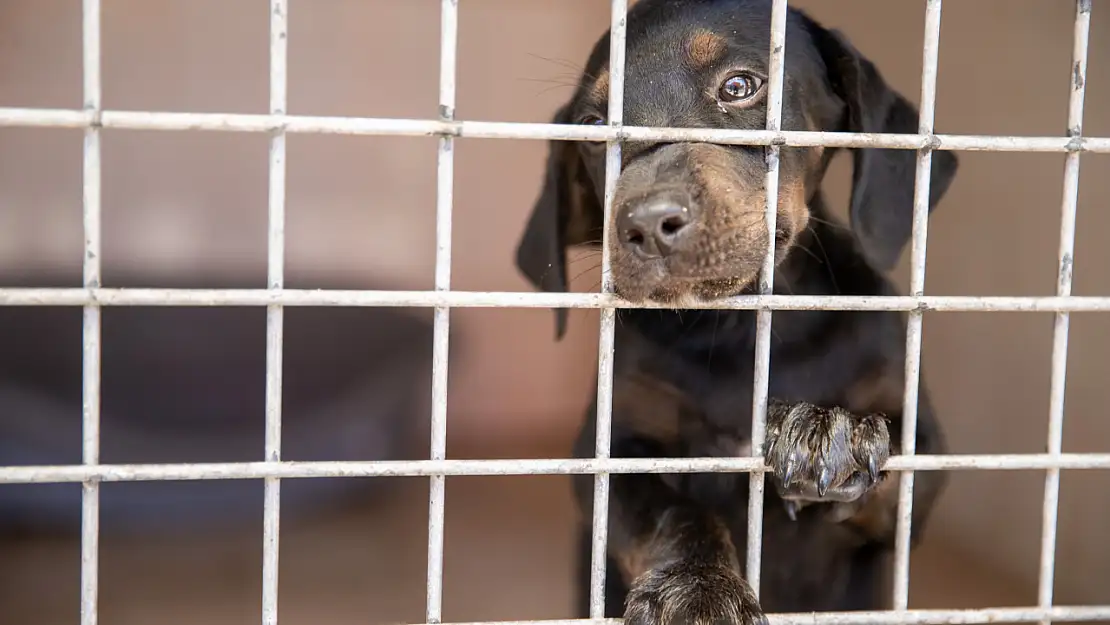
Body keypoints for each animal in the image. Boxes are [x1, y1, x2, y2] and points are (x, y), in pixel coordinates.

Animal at [515, 1, 959, 625]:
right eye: (593, 129)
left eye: (741, 86)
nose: (644, 224)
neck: (734, 329)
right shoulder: (609, 450)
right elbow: (674, 514)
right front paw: (696, 590)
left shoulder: (925, 461)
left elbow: (899, 470)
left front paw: (831, 429)